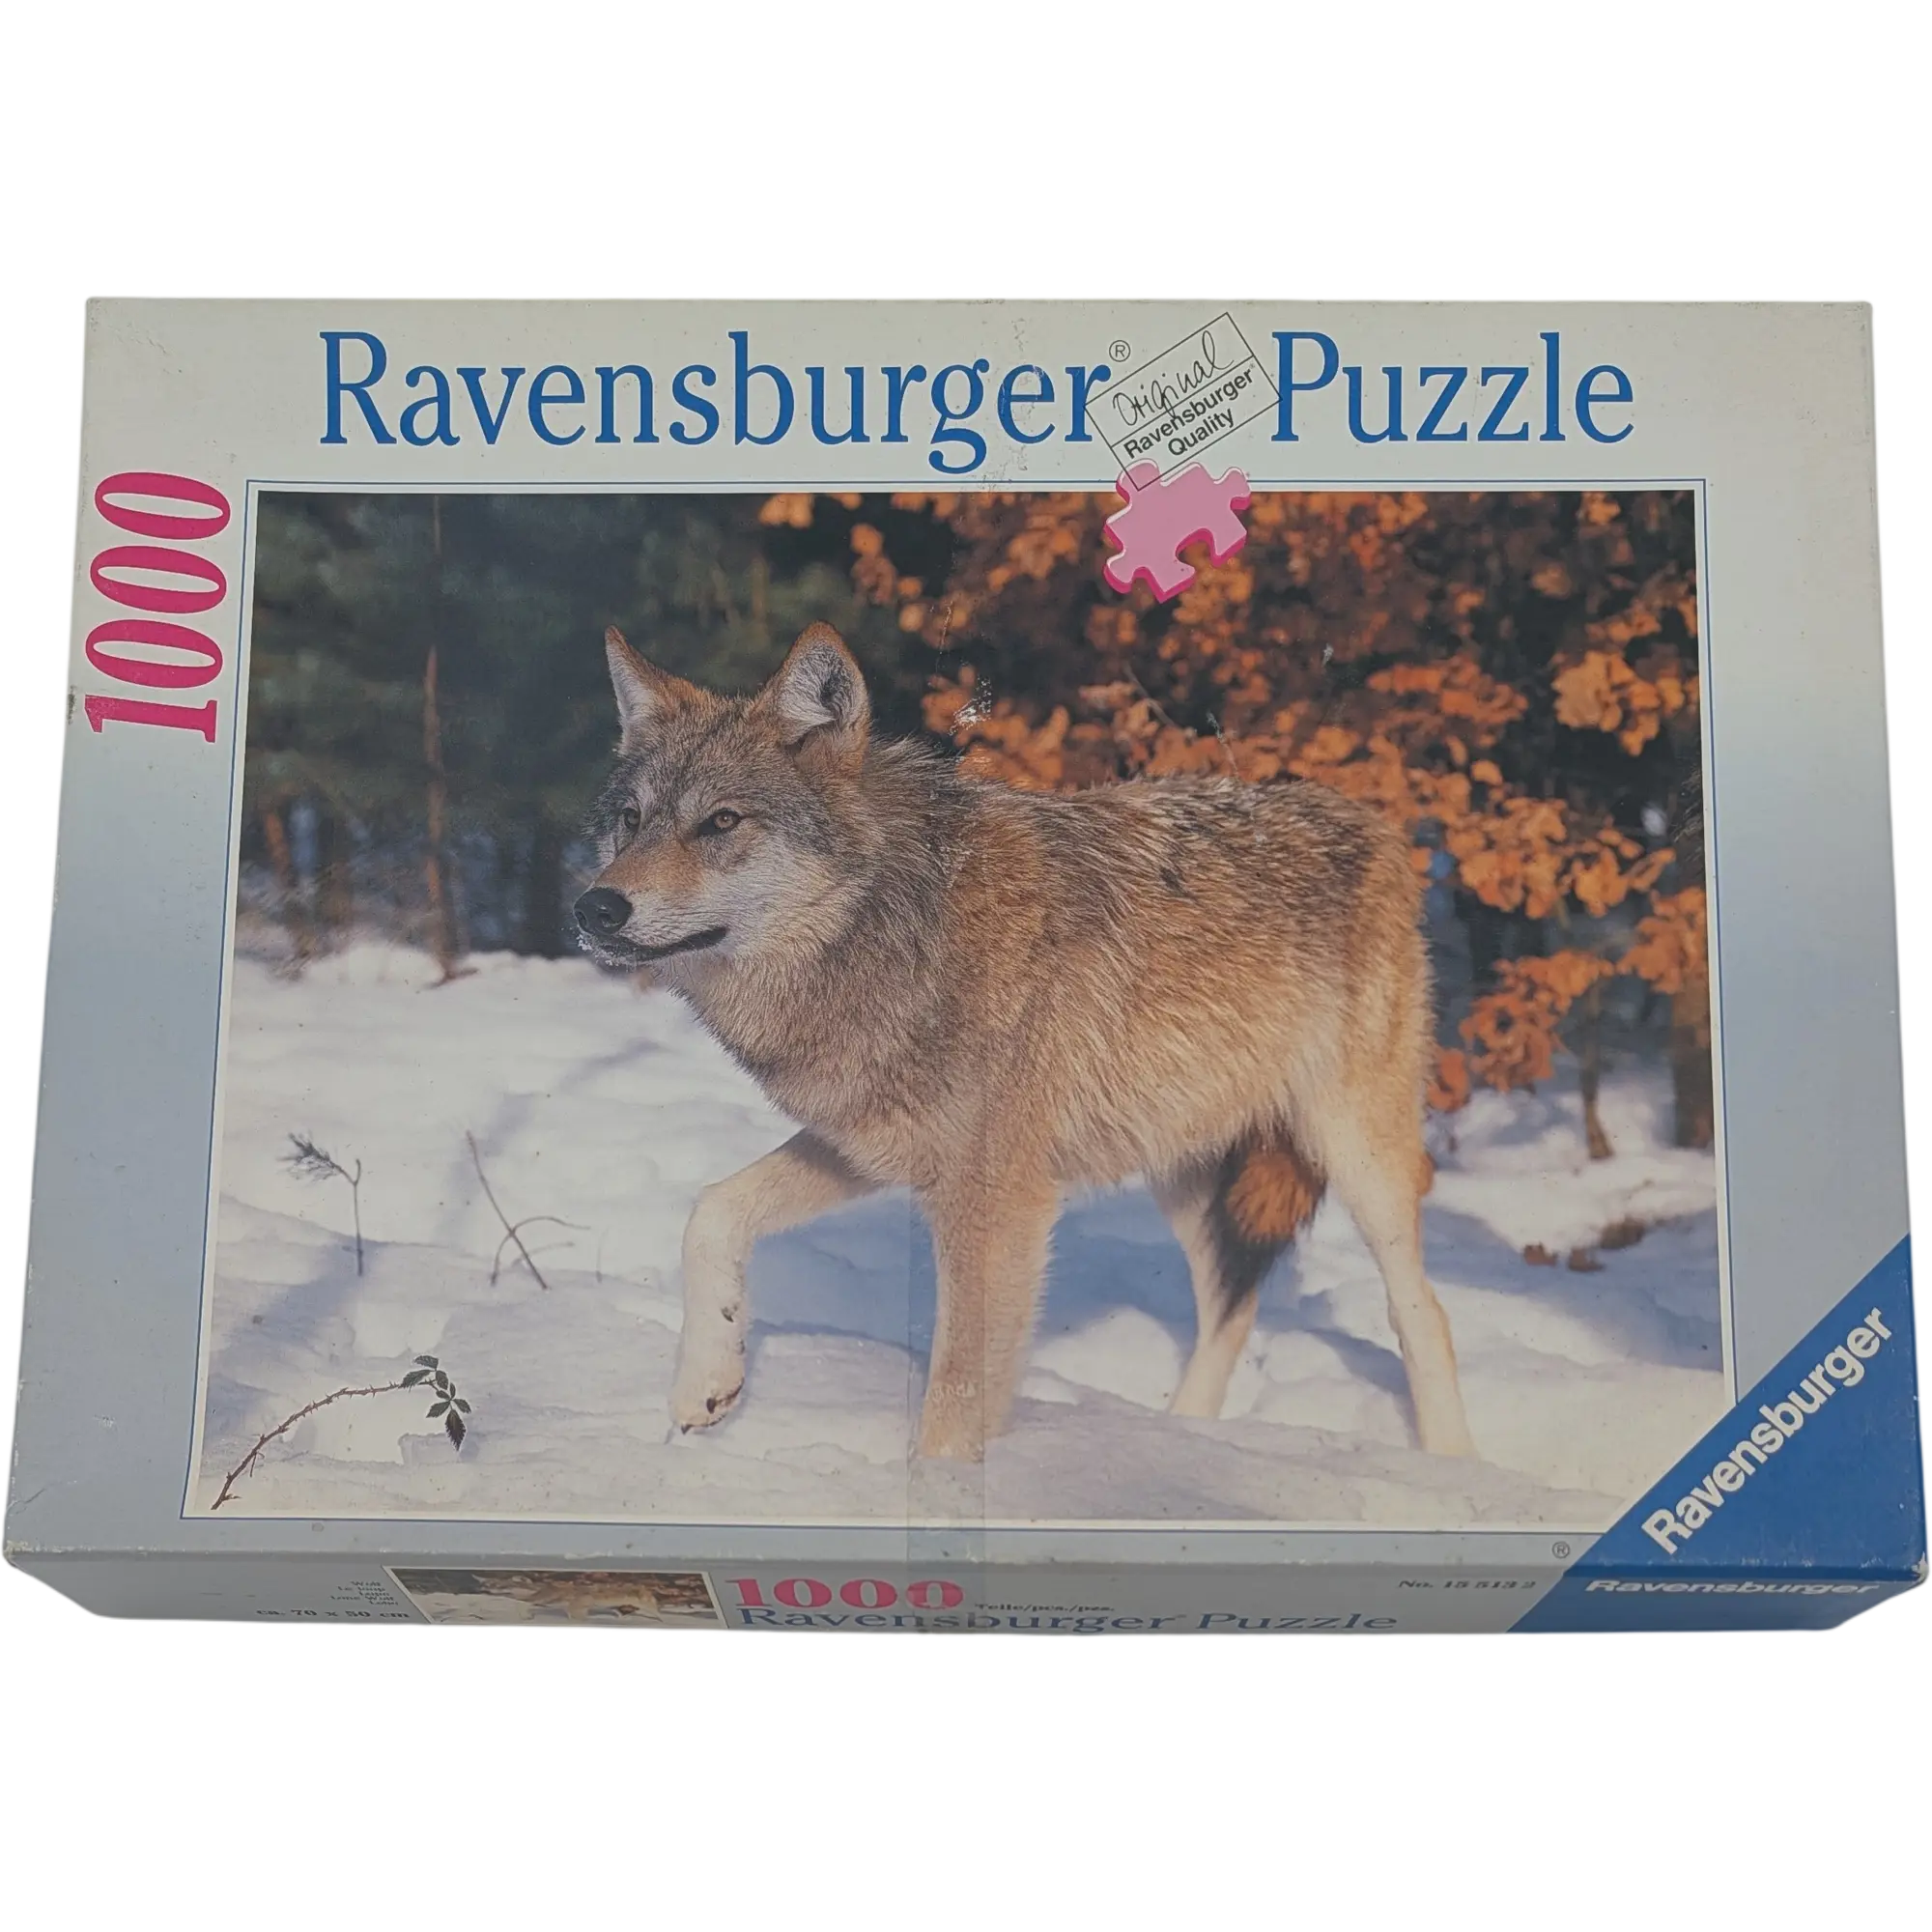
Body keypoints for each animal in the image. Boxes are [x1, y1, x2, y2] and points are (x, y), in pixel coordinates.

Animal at [576, 621, 1476, 1465]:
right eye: (631, 820)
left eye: (721, 822)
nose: (595, 908)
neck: (895, 932)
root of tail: (1373, 823)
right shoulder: (871, 1148)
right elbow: (712, 1212)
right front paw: (706, 1383)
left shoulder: (997, 1201)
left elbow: (954, 1401)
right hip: (1177, 1166)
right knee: (1232, 1300)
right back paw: (1182, 1440)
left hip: (1355, 1156)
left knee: (1423, 1312)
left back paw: (1447, 1469)